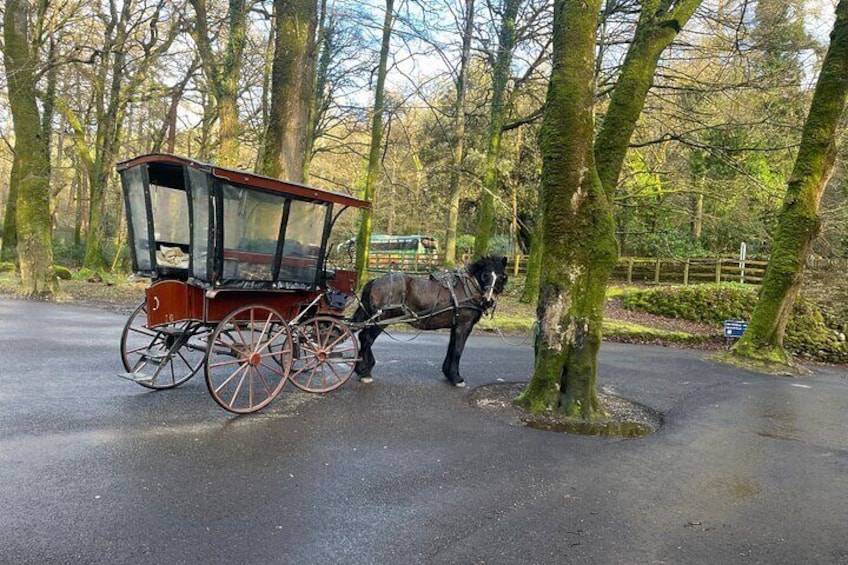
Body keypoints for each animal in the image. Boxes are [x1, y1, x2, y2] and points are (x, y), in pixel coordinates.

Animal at [350, 258, 504, 386]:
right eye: (485, 275)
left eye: (502, 277)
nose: (488, 300)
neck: (468, 289)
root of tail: (375, 281)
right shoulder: (464, 325)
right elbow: (458, 350)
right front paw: (456, 378)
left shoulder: (455, 326)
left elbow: (451, 348)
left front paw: (449, 373)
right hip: (381, 319)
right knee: (366, 338)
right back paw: (365, 372)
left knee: (363, 337)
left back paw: (362, 367)